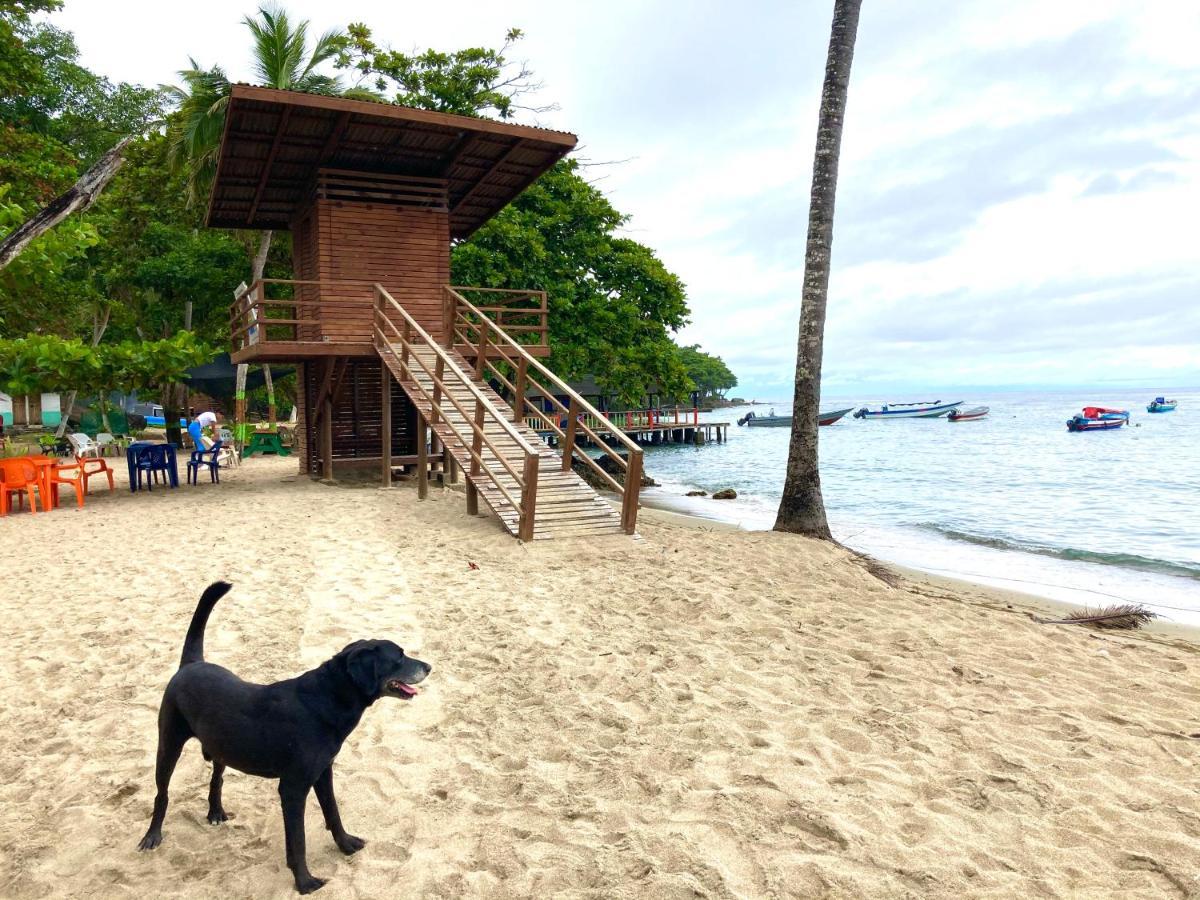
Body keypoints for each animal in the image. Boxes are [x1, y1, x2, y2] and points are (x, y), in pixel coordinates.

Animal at [138, 585, 429, 897]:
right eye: (399, 657)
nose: (429, 666)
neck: (327, 698)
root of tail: (191, 664)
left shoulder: (322, 772)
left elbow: (333, 811)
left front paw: (346, 845)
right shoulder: (293, 787)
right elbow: (298, 841)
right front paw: (305, 882)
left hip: (221, 745)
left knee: (217, 778)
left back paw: (215, 812)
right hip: (169, 744)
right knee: (162, 794)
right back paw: (152, 835)